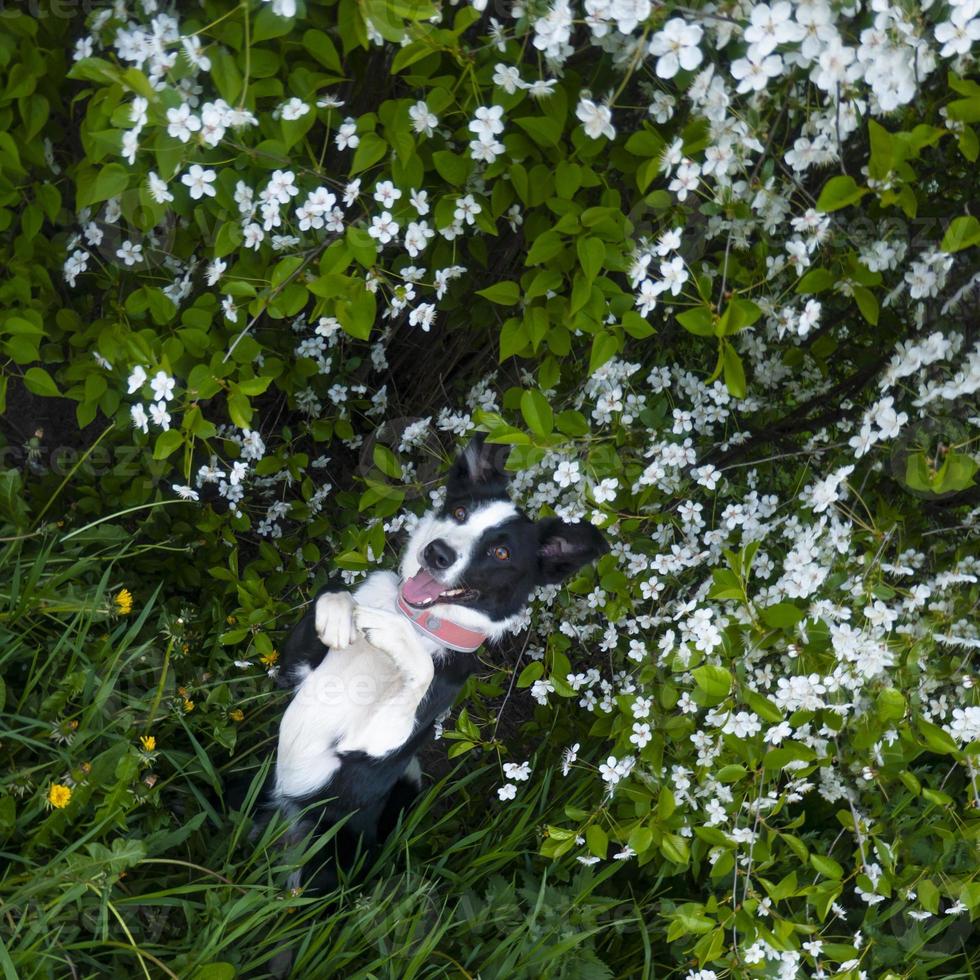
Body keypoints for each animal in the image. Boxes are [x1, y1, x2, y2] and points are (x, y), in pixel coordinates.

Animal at [264, 432, 608, 892]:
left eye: (501, 552)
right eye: (459, 513)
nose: (437, 552)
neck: (420, 624)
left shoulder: (375, 742)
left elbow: (422, 672)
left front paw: (389, 632)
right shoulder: (294, 673)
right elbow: (335, 592)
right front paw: (340, 614)